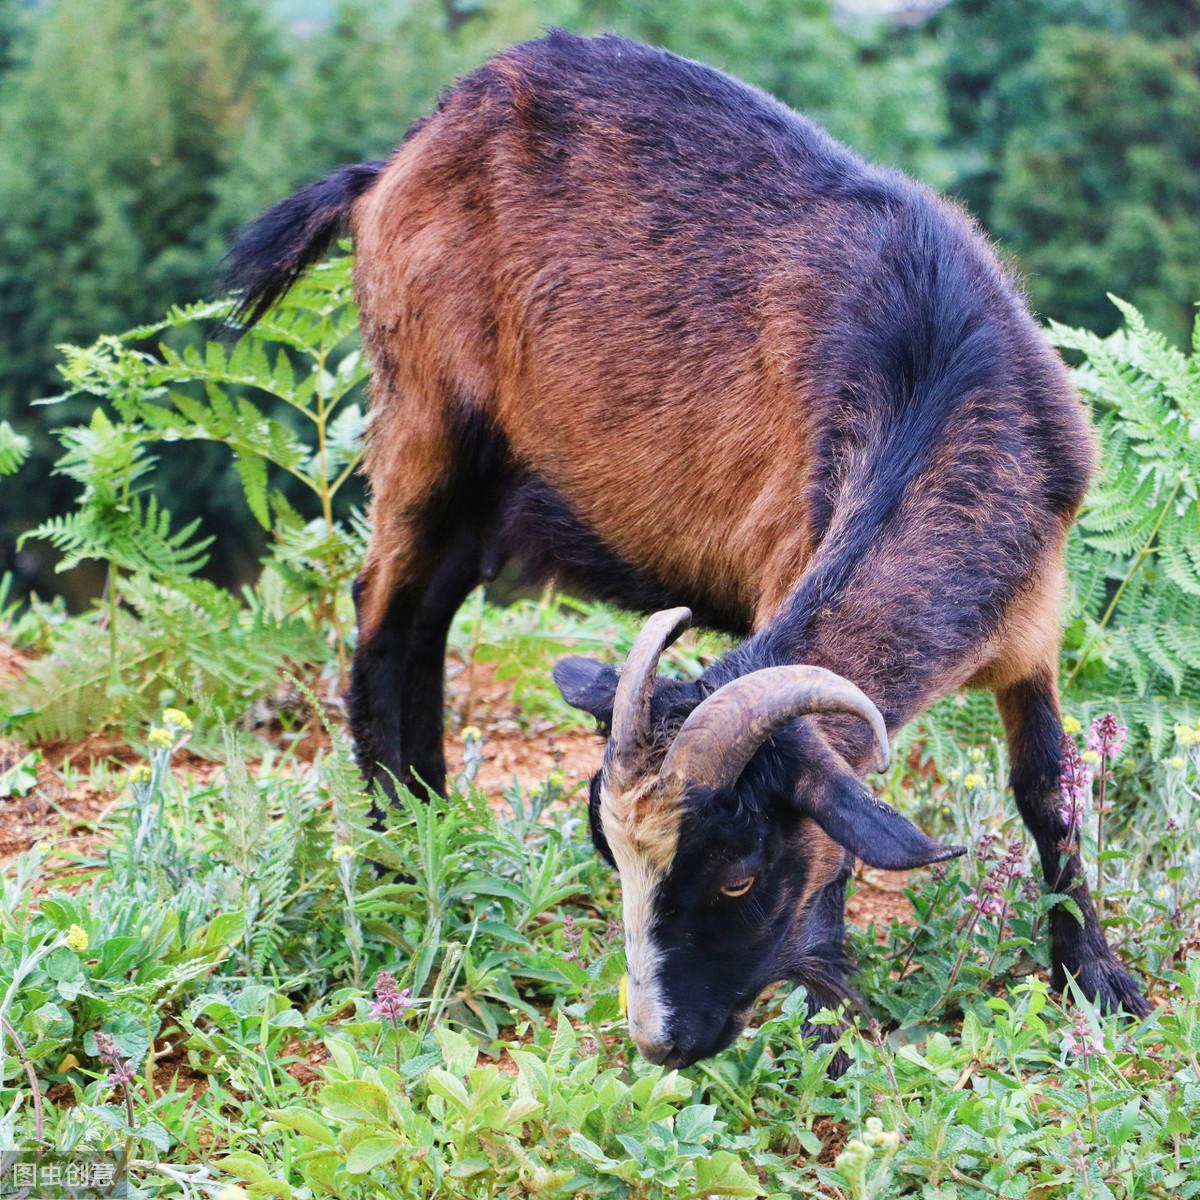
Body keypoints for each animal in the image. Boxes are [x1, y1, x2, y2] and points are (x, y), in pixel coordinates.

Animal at [226, 30, 1152, 1070]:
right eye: (613, 858)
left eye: (738, 877)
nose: (663, 1042)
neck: (937, 377)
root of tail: (395, 164)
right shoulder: (789, 549)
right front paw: (831, 1017)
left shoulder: (1032, 616)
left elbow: (1047, 789)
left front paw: (1097, 979)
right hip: (426, 414)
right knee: (383, 613)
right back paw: (395, 843)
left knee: (425, 616)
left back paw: (433, 817)